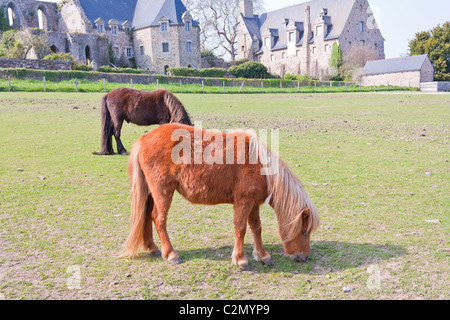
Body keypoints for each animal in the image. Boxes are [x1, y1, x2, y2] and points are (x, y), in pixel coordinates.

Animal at [119, 124, 320, 268]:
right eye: (304, 231)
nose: (303, 257)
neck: (259, 164)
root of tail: (144, 139)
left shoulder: (253, 204)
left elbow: (256, 228)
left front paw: (263, 256)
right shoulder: (243, 202)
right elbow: (241, 228)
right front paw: (240, 259)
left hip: (151, 192)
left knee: (146, 215)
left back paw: (152, 248)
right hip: (162, 192)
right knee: (158, 219)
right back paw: (171, 254)